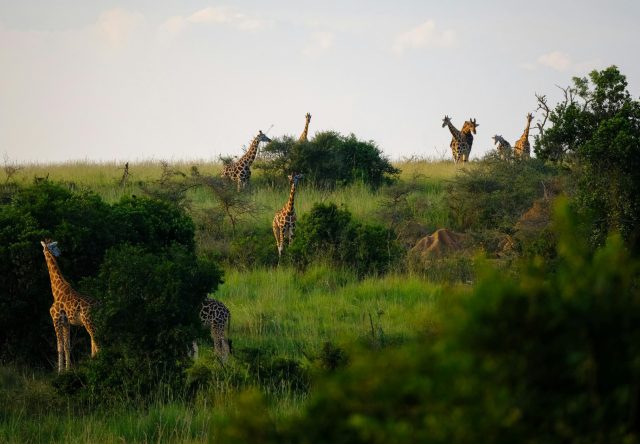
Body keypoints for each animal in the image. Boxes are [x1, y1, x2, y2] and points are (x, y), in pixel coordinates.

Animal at [40, 240, 99, 373]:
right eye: (54, 246)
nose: (60, 253)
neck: (56, 291)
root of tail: (99, 305)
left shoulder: (56, 319)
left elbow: (60, 347)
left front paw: (60, 372)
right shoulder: (66, 322)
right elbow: (67, 346)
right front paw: (67, 370)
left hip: (88, 321)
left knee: (96, 339)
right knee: (95, 338)